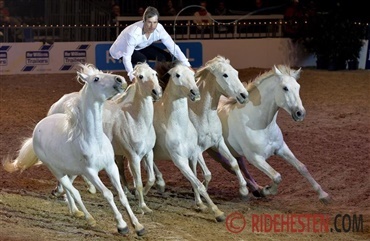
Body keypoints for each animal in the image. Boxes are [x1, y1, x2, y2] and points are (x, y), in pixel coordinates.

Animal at [4, 63, 147, 235]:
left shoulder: (110, 166)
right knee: (74, 191)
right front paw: (122, 225)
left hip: (70, 170)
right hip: (56, 170)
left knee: (69, 190)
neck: (94, 140)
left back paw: (75, 211)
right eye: (96, 78)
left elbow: (121, 196)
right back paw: (89, 218)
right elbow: (107, 194)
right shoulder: (90, 172)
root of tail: (38, 128)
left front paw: (138, 226)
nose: (120, 79)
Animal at [151, 60, 225, 222]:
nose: (195, 93)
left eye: (193, 74)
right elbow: (199, 184)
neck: (179, 126)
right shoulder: (180, 161)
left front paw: (200, 204)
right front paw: (217, 212)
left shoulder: (193, 155)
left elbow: (195, 180)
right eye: (177, 75)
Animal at [208, 64, 330, 203]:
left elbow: (301, 167)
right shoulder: (255, 158)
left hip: (235, 153)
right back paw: (254, 190)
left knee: (241, 168)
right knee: (231, 168)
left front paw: (323, 195)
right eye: (285, 88)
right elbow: (277, 176)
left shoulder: (281, 148)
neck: (259, 125)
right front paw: (267, 190)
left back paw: (256, 189)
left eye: (298, 87)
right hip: (216, 154)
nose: (300, 113)